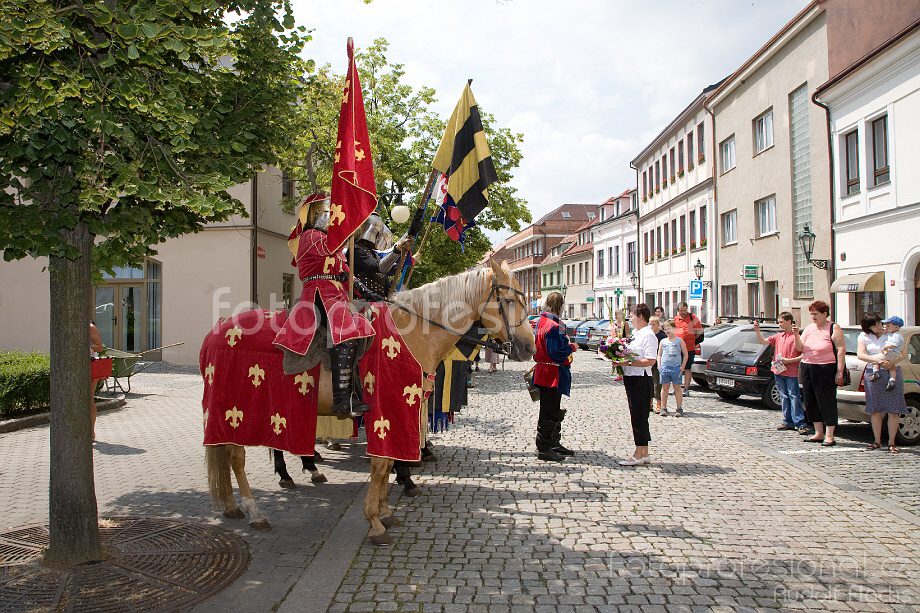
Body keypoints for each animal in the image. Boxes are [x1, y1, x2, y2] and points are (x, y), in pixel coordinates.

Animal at [201, 260, 532, 544]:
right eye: (509, 301)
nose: (528, 347)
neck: (410, 333)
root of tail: (216, 330)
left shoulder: (400, 412)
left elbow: (387, 465)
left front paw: (385, 512)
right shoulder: (388, 409)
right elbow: (382, 463)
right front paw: (375, 521)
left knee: (228, 454)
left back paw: (234, 504)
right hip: (238, 409)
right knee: (236, 458)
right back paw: (255, 511)